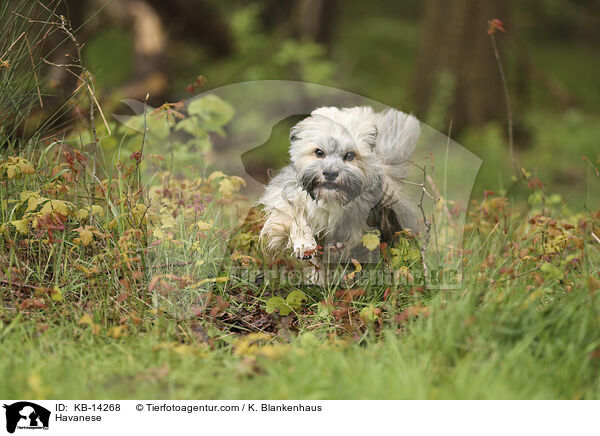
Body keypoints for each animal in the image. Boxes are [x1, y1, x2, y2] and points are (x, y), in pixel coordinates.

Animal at [258, 106, 422, 262]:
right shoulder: (287, 195)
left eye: (349, 155)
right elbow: (294, 216)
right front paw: (304, 245)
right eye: (319, 152)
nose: (330, 174)